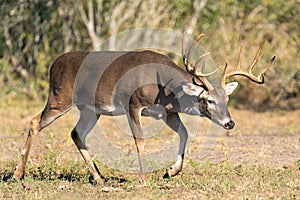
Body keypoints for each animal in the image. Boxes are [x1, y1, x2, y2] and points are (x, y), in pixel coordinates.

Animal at [14, 33, 276, 185]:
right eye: (209, 100)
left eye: (227, 100)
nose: (229, 123)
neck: (166, 88)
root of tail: (53, 64)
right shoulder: (133, 104)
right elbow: (139, 140)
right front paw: (142, 179)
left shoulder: (168, 112)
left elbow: (184, 133)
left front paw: (171, 171)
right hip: (60, 97)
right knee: (34, 122)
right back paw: (18, 174)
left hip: (91, 109)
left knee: (76, 133)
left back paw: (99, 178)